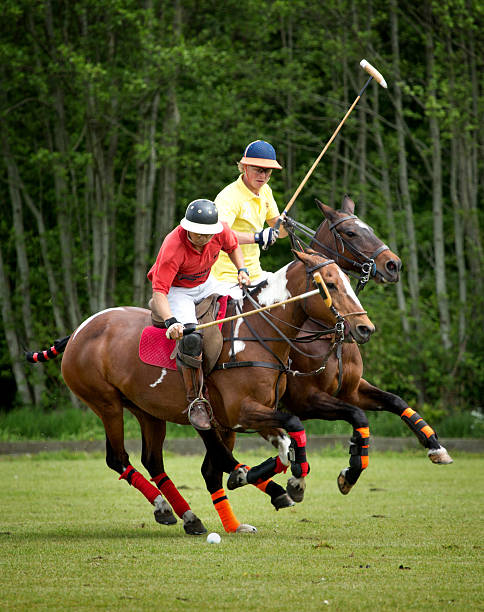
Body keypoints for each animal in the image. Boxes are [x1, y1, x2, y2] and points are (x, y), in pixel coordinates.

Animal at [27, 251, 374, 532]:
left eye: (348, 280)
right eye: (330, 283)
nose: (365, 328)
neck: (259, 332)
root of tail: (78, 331)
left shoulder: (254, 413)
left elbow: (286, 444)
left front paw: (277, 479)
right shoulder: (242, 412)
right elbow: (292, 431)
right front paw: (292, 482)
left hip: (148, 411)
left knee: (157, 461)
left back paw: (192, 515)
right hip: (106, 403)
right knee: (119, 458)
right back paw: (169, 506)